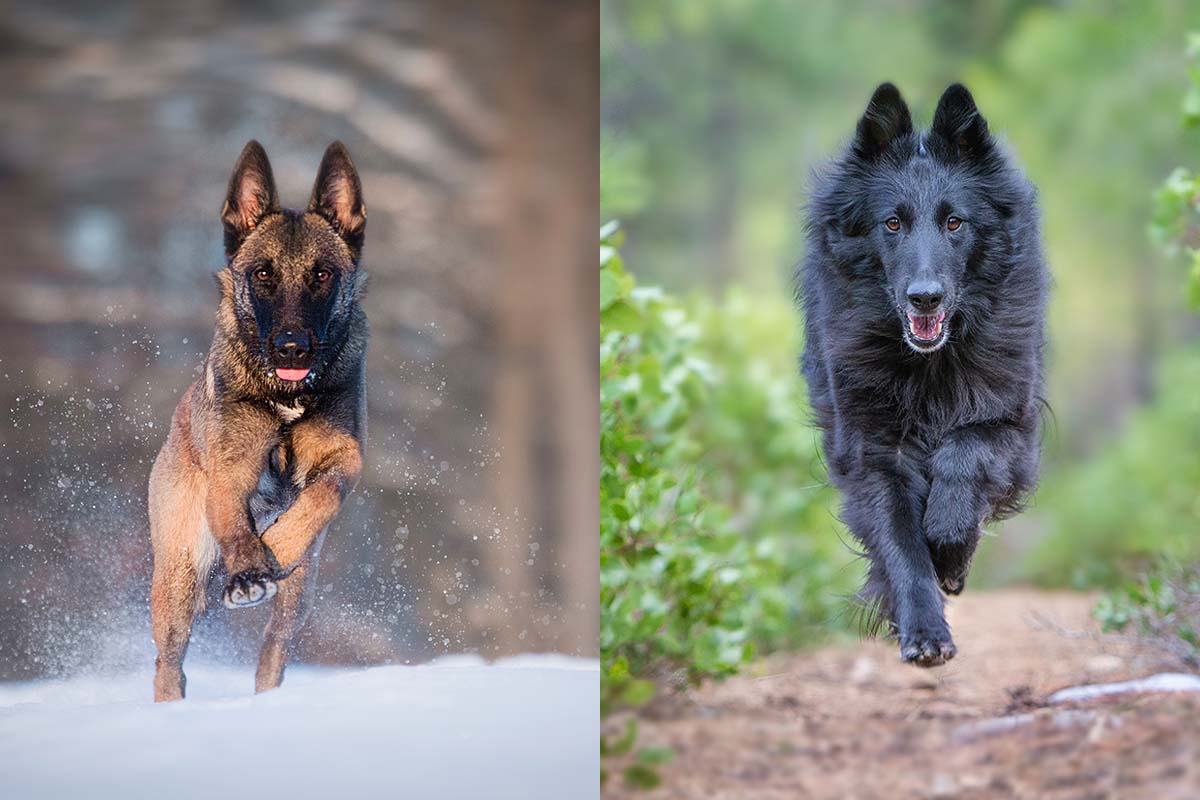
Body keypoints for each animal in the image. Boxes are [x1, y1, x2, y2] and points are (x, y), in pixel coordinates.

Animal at [149, 142, 367, 700]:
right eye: (263, 274)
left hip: (299, 598)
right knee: (168, 660)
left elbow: (320, 497)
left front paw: (278, 546)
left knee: (274, 647)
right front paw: (249, 570)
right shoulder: (231, 472)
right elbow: (237, 528)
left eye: (322, 274)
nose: (292, 346)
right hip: (178, 572)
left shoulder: (345, 458)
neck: (285, 396)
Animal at [801, 84, 1046, 666]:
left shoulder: (1010, 420)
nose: (925, 297)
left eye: (954, 222)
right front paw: (924, 630)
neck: (930, 362)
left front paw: (950, 548)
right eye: (892, 223)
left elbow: (965, 452)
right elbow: (900, 541)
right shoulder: (873, 450)